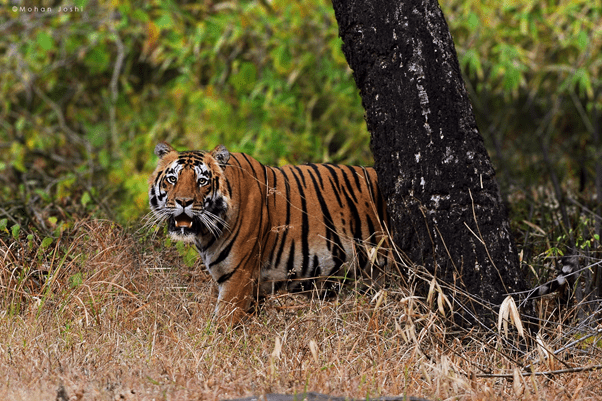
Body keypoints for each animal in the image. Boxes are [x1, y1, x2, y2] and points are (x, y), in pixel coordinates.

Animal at [148, 142, 392, 324]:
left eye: (202, 181)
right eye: (172, 179)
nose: (183, 202)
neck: (206, 233)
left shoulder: (238, 279)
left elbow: (221, 327)